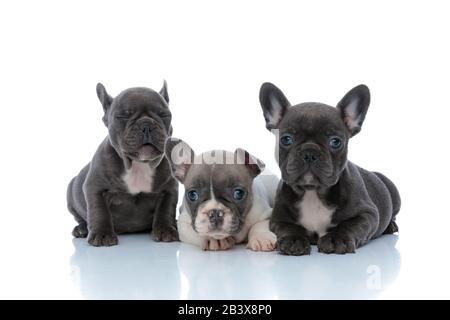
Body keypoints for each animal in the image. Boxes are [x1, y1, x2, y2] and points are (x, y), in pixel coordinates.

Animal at [66, 81, 178, 246]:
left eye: (164, 115)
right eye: (123, 116)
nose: (146, 125)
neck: (138, 165)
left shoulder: (169, 189)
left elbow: (166, 209)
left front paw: (166, 230)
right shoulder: (95, 188)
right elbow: (99, 211)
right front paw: (102, 234)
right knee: (81, 218)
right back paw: (82, 229)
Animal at [258, 82, 402, 255]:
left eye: (335, 141)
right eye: (286, 139)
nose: (310, 152)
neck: (312, 192)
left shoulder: (368, 214)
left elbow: (349, 225)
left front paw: (336, 238)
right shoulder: (278, 218)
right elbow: (288, 227)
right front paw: (294, 239)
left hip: (393, 191)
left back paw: (391, 226)